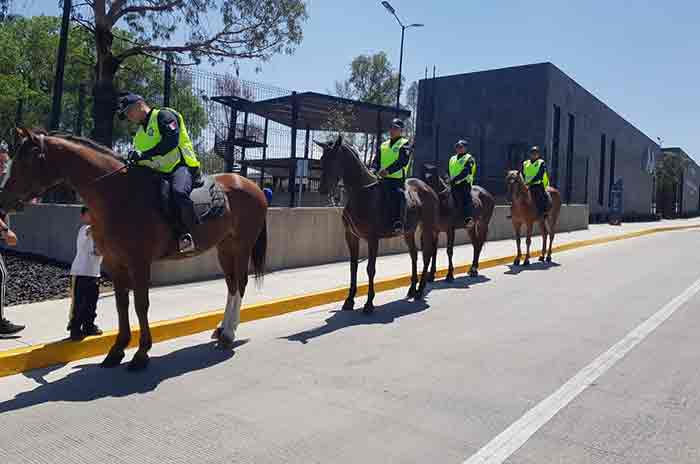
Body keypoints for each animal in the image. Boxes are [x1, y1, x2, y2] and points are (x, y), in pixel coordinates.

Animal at [3, 129, 266, 372]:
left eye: (26, 161)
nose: (3, 199)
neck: (119, 195)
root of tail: (253, 185)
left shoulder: (139, 263)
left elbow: (141, 304)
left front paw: (141, 354)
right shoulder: (114, 263)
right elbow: (122, 304)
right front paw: (117, 350)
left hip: (242, 246)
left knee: (240, 283)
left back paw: (229, 334)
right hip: (225, 248)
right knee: (231, 285)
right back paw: (223, 329)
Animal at [318, 136, 438, 314]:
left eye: (334, 160)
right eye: (322, 159)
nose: (322, 190)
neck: (361, 193)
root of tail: (428, 188)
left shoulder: (372, 239)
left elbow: (370, 268)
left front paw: (369, 303)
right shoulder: (351, 236)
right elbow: (353, 266)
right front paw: (349, 300)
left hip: (428, 227)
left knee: (427, 254)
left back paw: (420, 290)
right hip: (408, 232)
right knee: (414, 255)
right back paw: (412, 289)